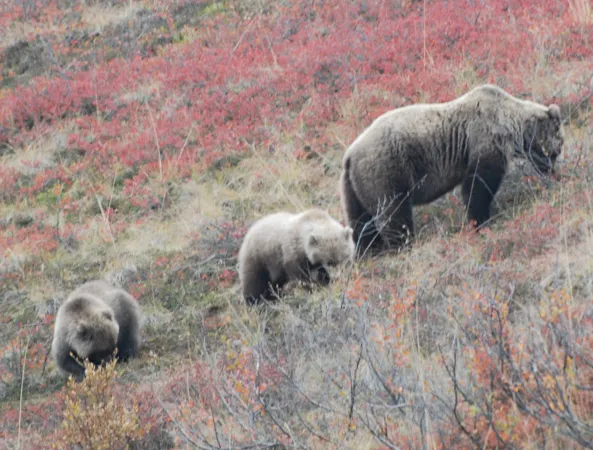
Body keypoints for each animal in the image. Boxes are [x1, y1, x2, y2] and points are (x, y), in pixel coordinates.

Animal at [340, 82, 560, 255]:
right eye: (558, 146)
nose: (554, 169)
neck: (511, 123)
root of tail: (349, 155)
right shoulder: (485, 139)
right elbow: (479, 185)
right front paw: (480, 221)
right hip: (385, 170)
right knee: (393, 211)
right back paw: (403, 245)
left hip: (354, 186)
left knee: (361, 222)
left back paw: (370, 251)